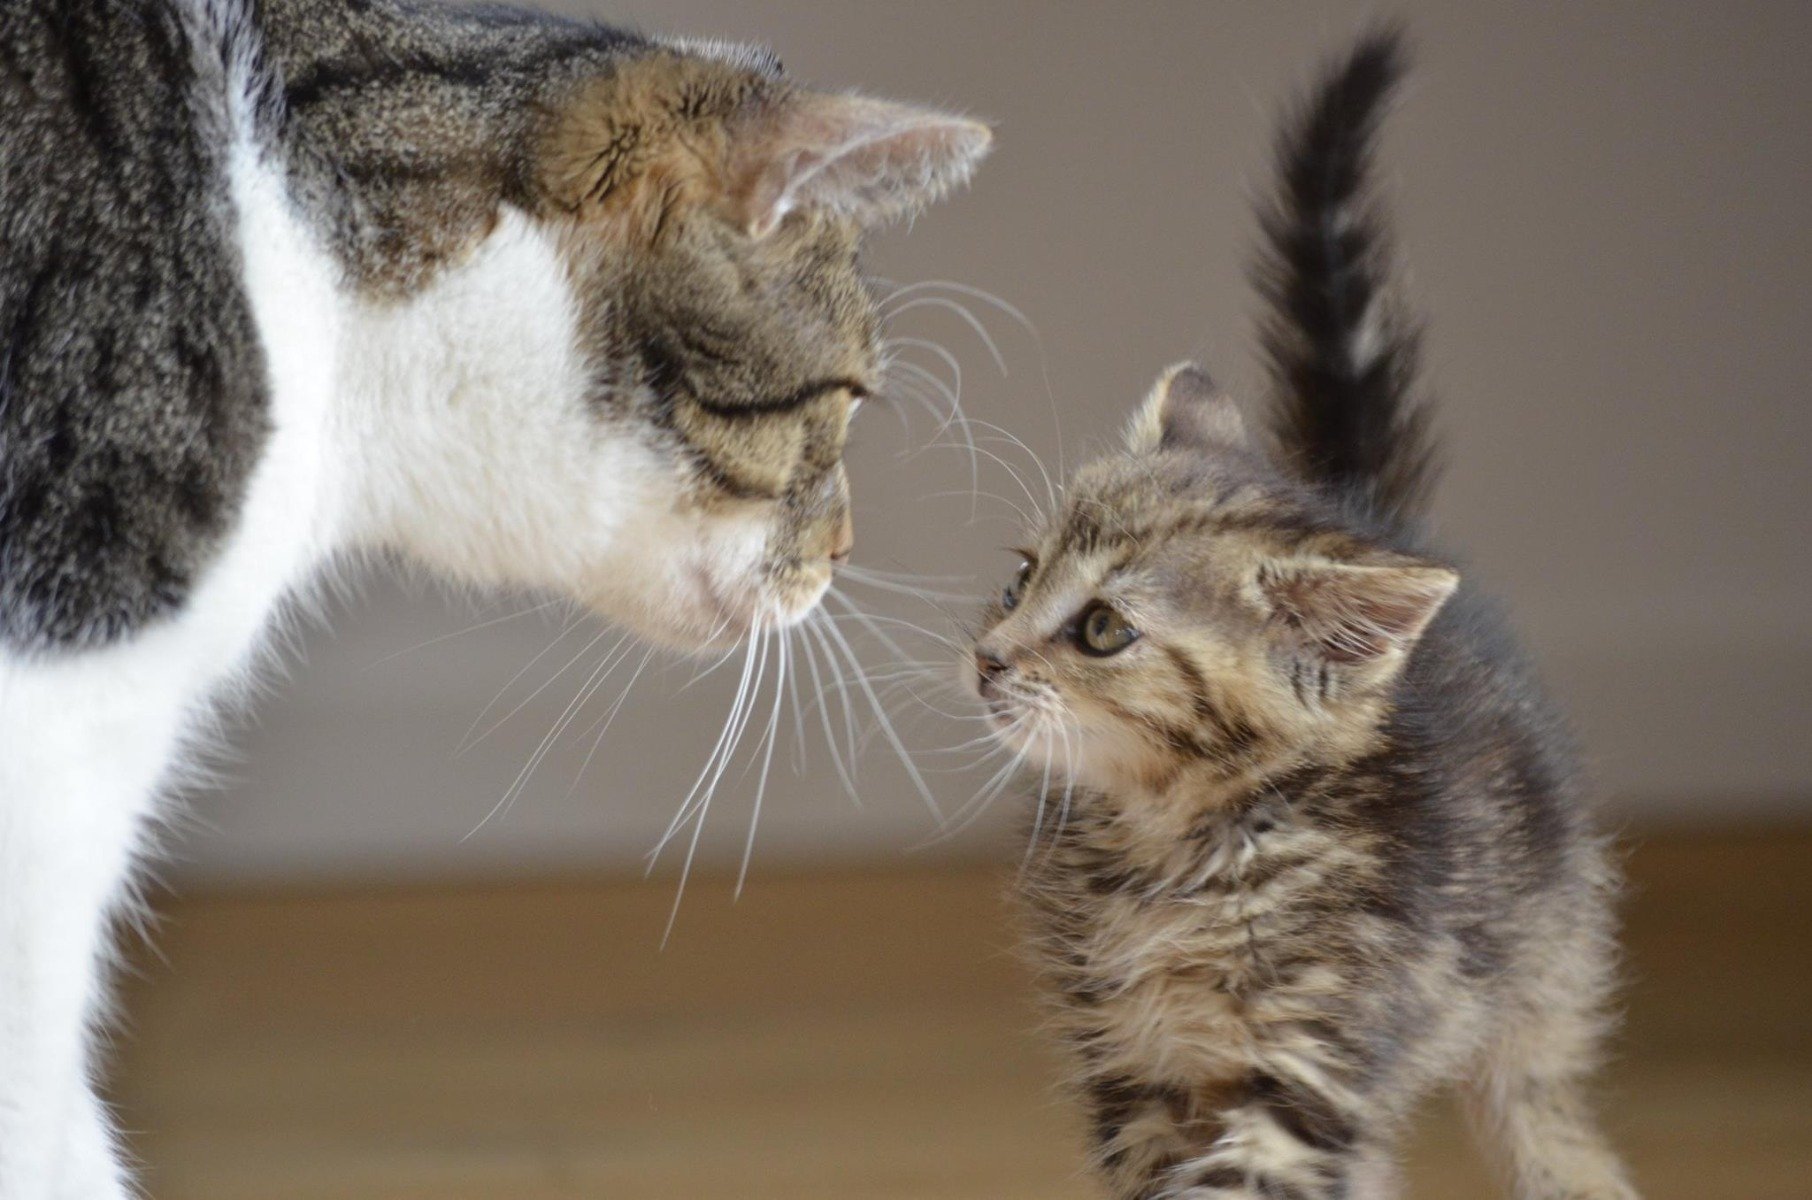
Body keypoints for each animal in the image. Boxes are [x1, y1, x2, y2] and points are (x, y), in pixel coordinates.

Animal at [978, 35, 1645, 1200]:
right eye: (1021, 580)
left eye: (1103, 630)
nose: (987, 656)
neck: (1172, 849)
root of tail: (1371, 516)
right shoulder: (1138, 1070)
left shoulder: (1303, 1066)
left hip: (1543, 969)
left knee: (1545, 1109)